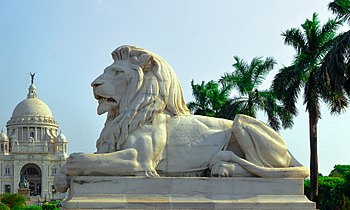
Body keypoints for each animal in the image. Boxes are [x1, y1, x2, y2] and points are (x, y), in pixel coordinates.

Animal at [53, 45, 308, 193]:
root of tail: (287, 149)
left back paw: (222, 167)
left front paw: (69, 170)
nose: (93, 84)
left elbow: (80, 158)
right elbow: (74, 160)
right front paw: (60, 180)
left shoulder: (142, 161)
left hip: (242, 121)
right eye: (107, 70)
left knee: (262, 169)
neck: (128, 113)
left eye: (117, 72)